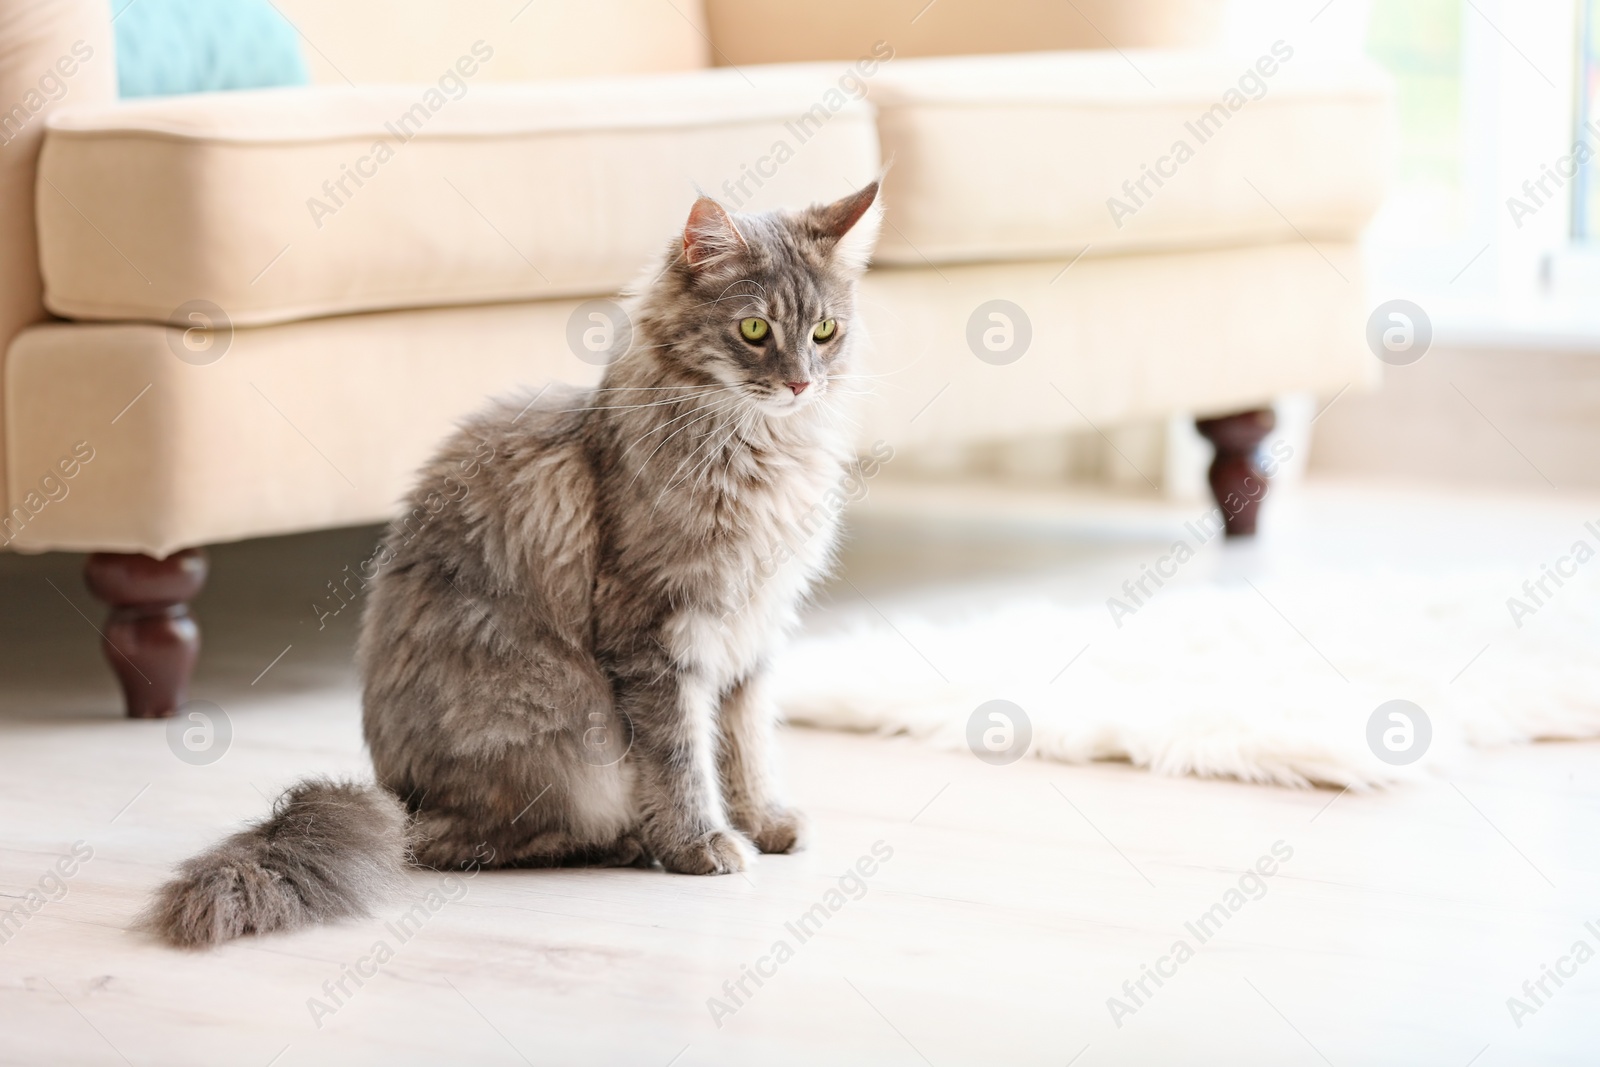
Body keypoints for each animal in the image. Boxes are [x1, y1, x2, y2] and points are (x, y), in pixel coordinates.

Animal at [144, 179, 883, 947]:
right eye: (755, 331)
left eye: (824, 333)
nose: (800, 385)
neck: (761, 455)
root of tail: (393, 795)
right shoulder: (656, 634)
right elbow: (683, 757)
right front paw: (701, 844)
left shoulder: (752, 634)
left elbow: (747, 744)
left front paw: (764, 822)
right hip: (569, 735)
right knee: (461, 843)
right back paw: (620, 842)